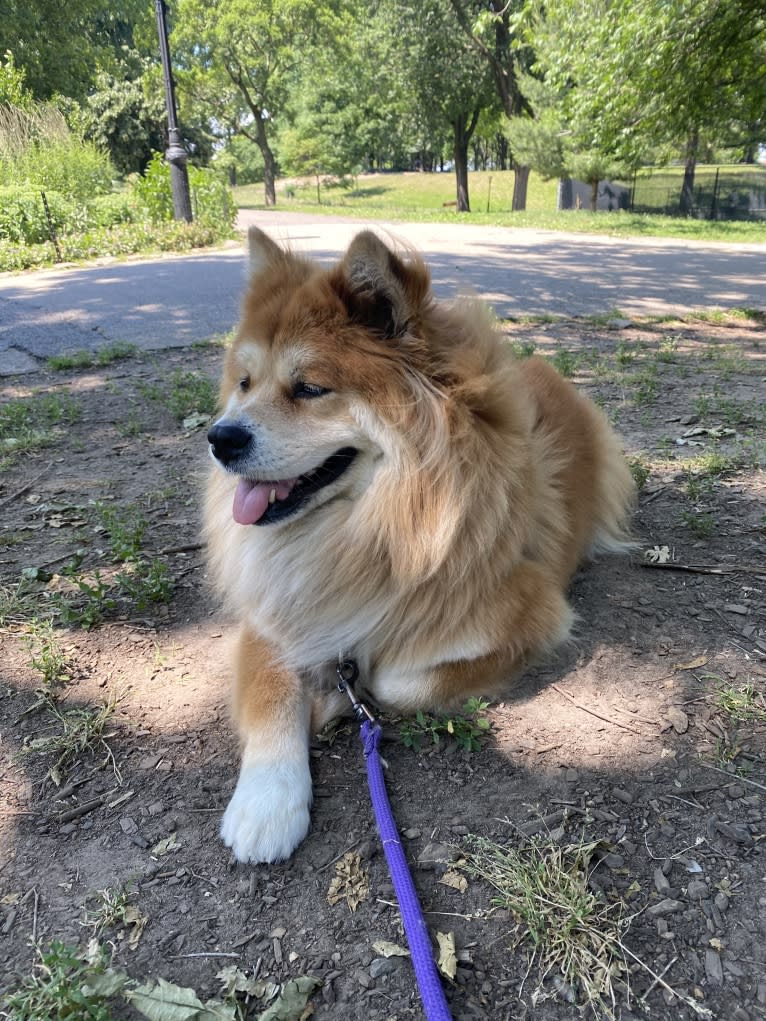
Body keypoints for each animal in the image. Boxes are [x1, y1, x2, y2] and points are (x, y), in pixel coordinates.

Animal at [205, 229, 637, 861]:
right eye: (245, 383)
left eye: (310, 389)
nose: (220, 438)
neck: (378, 531)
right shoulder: (276, 612)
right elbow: (271, 691)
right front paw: (267, 803)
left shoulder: (532, 617)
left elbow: (392, 679)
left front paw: (338, 699)